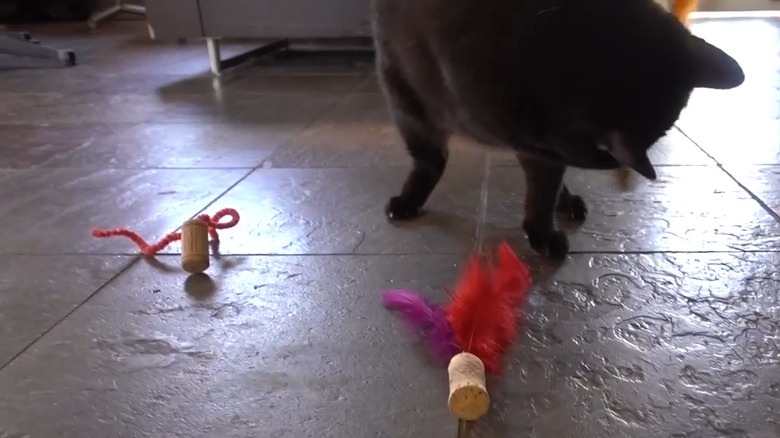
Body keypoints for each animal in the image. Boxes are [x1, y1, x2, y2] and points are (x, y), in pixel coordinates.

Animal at [374, 0, 748, 256]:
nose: (613, 159)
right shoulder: (532, 134)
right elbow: (543, 187)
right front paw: (542, 232)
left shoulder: (543, 139)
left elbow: (548, 182)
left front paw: (547, 220)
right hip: (406, 97)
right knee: (430, 159)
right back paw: (408, 200)